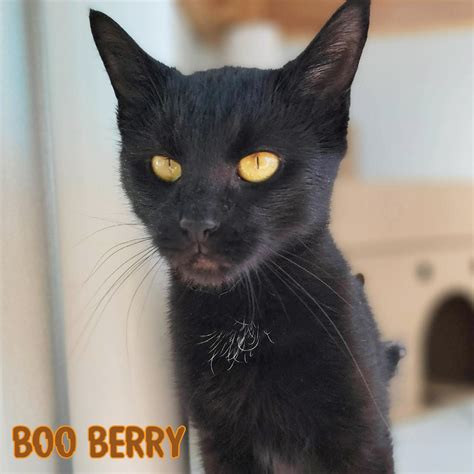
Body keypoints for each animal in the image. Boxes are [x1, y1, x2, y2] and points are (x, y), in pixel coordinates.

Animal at [90, 1, 403, 472]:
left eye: (259, 163)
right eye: (165, 164)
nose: (196, 222)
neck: (244, 322)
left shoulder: (363, 436)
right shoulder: (218, 438)